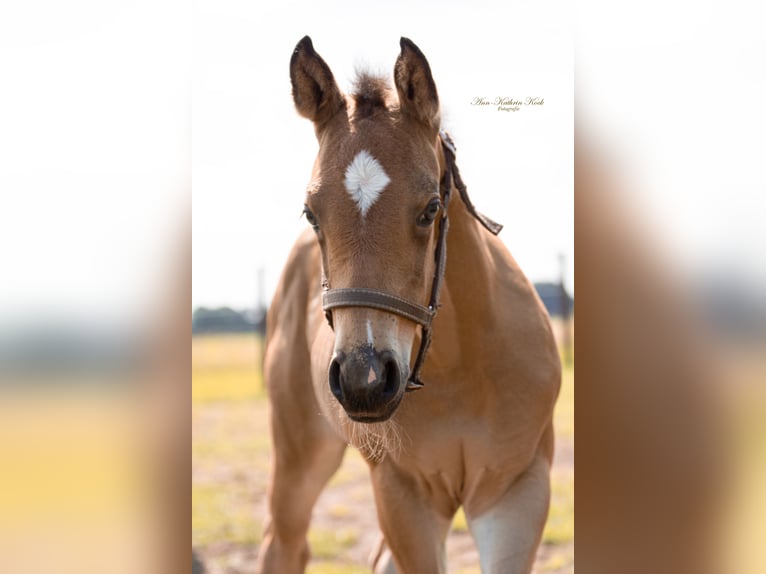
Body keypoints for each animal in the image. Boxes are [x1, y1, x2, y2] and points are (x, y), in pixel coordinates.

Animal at [256, 36, 561, 574]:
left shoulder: (515, 492)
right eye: (311, 213)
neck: (462, 369)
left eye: (430, 209)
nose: (366, 379)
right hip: (299, 454)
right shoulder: (405, 496)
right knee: (284, 542)